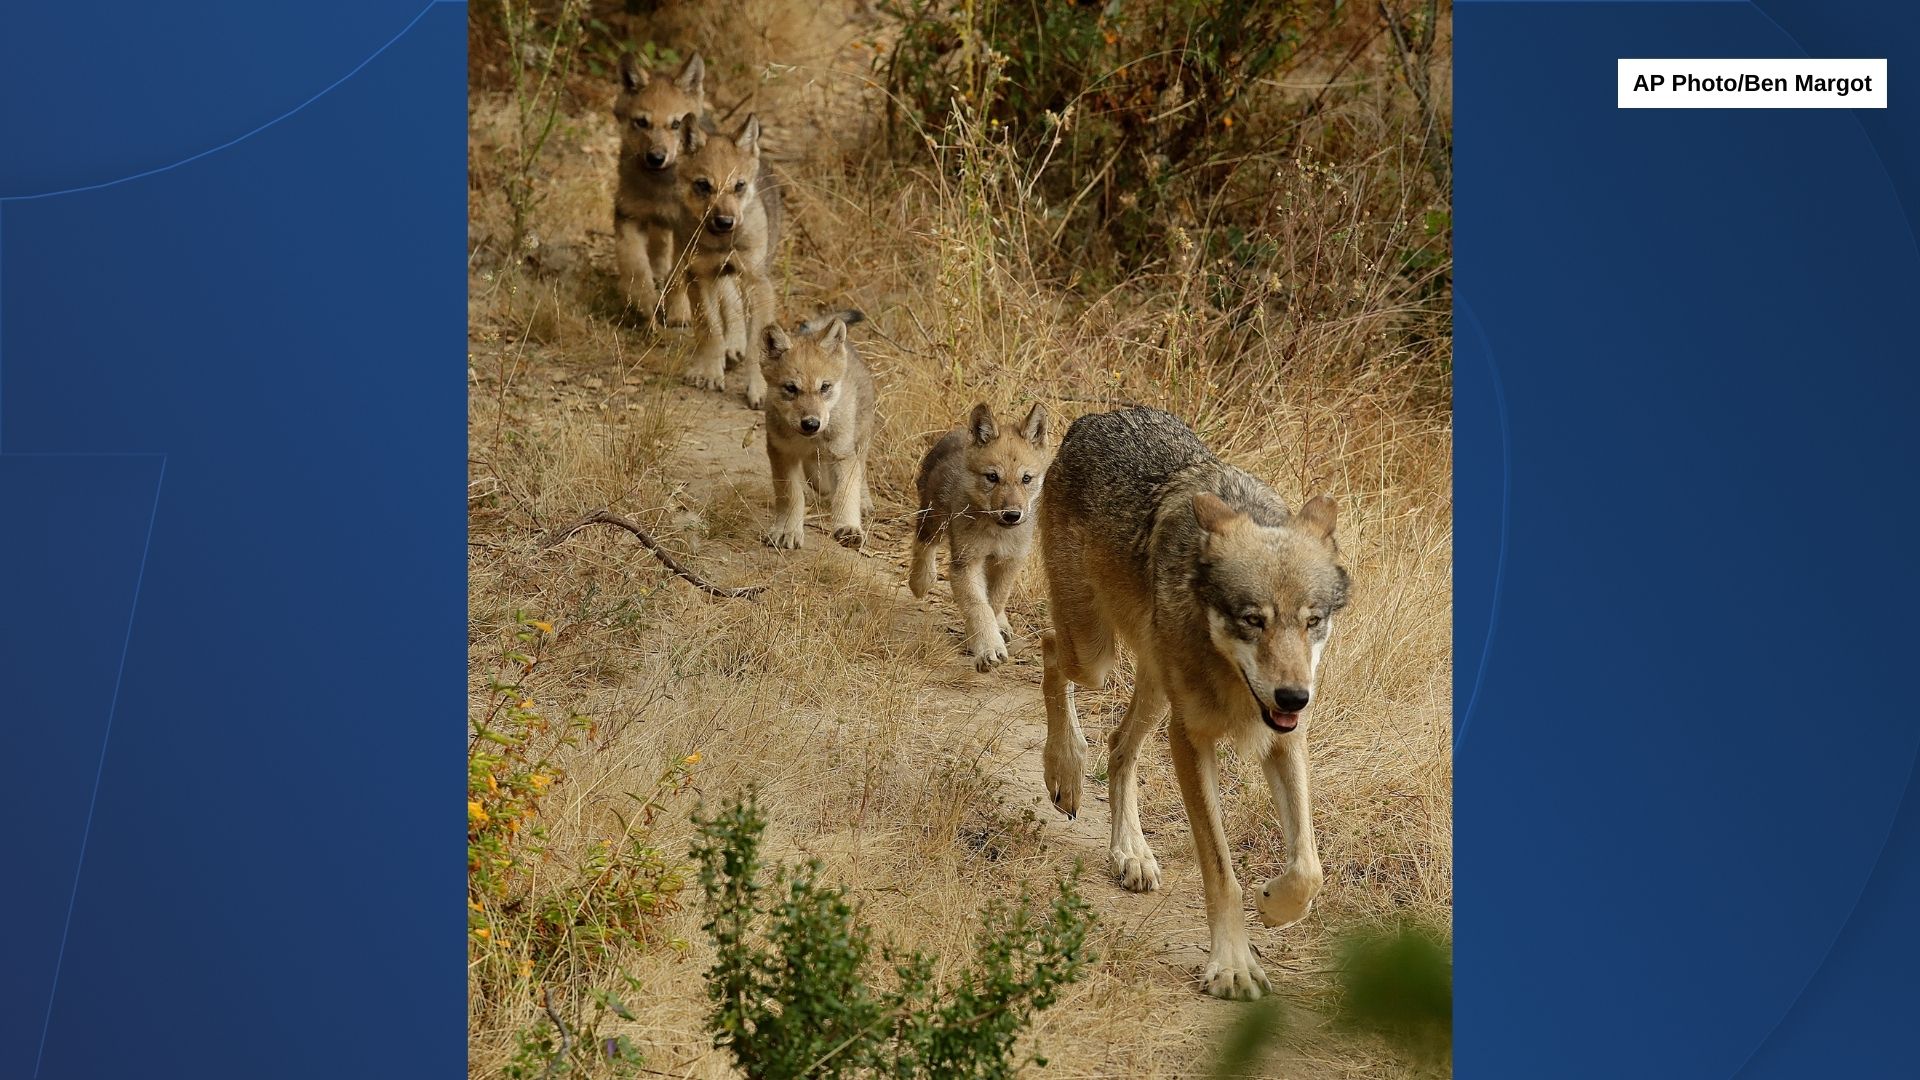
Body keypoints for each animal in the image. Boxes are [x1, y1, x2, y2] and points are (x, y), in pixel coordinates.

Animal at [611, 51, 708, 328]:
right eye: (641, 122)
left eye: (676, 124)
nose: (656, 157)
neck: (659, 189)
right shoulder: (628, 216)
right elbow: (635, 266)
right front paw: (643, 304)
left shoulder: (686, 232)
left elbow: (678, 277)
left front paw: (678, 314)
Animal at [677, 114, 784, 408]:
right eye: (704, 185)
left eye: (739, 186)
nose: (725, 222)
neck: (722, 243)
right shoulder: (699, 275)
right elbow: (710, 328)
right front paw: (709, 373)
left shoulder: (758, 282)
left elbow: (756, 346)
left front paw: (759, 388)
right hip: (711, 275)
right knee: (726, 305)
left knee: (734, 303)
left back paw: (735, 347)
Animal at [759, 311, 873, 550]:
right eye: (791, 388)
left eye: (825, 387)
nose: (811, 424)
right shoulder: (781, 453)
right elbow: (791, 495)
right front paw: (788, 530)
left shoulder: (842, 454)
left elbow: (846, 492)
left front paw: (848, 527)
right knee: (820, 480)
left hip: (860, 440)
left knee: (861, 470)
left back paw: (864, 502)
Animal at [909, 402, 1051, 671]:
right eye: (992, 477)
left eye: (1026, 479)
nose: (1012, 515)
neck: (997, 534)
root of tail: (957, 431)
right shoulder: (966, 563)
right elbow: (978, 606)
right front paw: (988, 648)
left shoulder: (1010, 561)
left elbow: (994, 601)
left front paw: (984, 638)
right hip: (933, 519)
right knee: (923, 545)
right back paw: (921, 581)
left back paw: (1003, 626)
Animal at [1037, 407, 1351, 1000]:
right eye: (1253, 620)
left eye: (1312, 621)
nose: (1294, 695)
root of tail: (1096, 416)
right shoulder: (1191, 740)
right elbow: (1222, 870)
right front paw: (1232, 966)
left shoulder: (1285, 738)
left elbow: (1309, 867)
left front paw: (1274, 906)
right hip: (1095, 657)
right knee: (1048, 651)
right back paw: (1064, 769)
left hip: (1154, 687)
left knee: (1118, 745)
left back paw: (1131, 853)